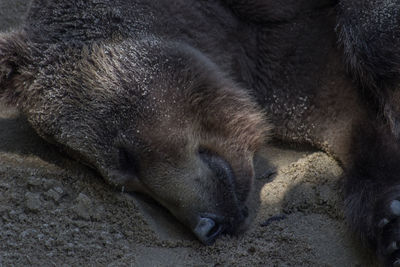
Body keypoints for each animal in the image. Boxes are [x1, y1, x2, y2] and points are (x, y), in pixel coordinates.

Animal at [0, 0, 400, 266]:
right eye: (123, 182)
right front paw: (389, 221)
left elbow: (375, 35)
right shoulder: (287, 67)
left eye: (125, 156)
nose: (207, 226)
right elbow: (354, 128)